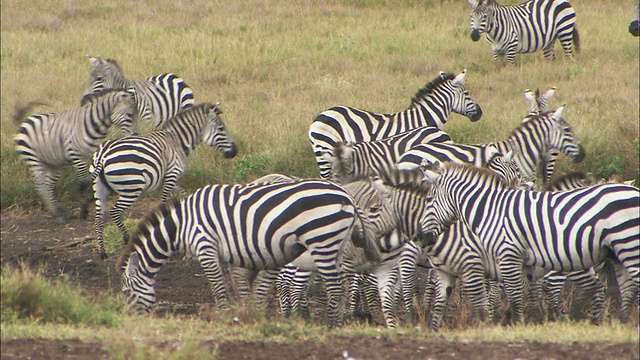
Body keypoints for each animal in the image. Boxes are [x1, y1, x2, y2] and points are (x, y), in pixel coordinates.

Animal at [14, 88, 136, 221]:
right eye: (130, 115)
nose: (134, 135)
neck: (93, 125)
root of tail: (26, 120)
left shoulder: (92, 157)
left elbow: (91, 181)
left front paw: (88, 204)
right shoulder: (77, 156)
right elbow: (84, 183)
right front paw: (83, 210)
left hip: (54, 163)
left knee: (48, 185)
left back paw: (59, 211)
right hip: (33, 159)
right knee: (41, 185)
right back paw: (56, 212)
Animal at [91, 102, 239, 258]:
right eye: (221, 129)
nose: (235, 151)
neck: (178, 141)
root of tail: (103, 155)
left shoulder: (170, 179)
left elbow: (183, 194)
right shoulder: (171, 175)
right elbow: (164, 202)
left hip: (100, 189)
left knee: (99, 218)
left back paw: (102, 251)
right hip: (131, 188)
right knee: (114, 211)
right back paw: (126, 237)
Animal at [115, 177, 380, 326]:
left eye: (126, 292)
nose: (130, 321)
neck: (182, 225)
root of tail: (345, 194)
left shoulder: (205, 245)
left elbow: (218, 287)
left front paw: (225, 317)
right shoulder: (237, 252)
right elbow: (242, 285)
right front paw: (245, 314)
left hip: (322, 240)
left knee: (334, 288)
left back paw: (330, 326)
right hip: (337, 243)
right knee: (343, 283)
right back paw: (342, 320)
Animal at [420, 162, 640, 324]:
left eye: (429, 199)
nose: (424, 236)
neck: (491, 210)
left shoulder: (508, 256)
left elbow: (515, 297)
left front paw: (515, 325)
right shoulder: (521, 263)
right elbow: (520, 296)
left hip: (625, 246)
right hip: (616, 252)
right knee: (623, 289)